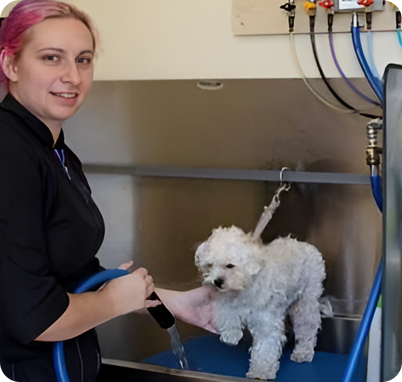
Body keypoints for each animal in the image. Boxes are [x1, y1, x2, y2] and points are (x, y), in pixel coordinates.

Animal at [195, 225, 330, 380]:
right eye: (210, 265)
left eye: (230, 265)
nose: (217, 282)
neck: (244, 288)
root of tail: (308, 246)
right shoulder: (227, 302)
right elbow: (228, 316)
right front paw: (231, 335)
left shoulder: (266, 323)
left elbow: (265, 347)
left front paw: (260, 372)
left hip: (305, 301)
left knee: (308, 327)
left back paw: (303, 352)